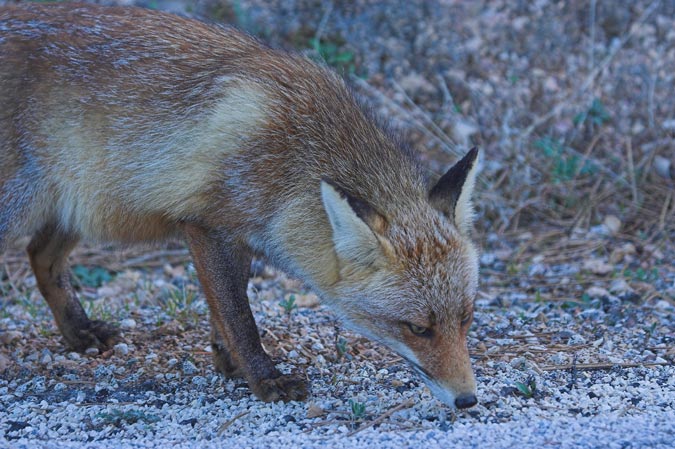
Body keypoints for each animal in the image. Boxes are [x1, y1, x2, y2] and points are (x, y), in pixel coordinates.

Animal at [2, 4, 484, 410]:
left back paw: (78, 333)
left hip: (76, 207)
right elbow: (238, 315)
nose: (467, 401)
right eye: (417, 328)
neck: (297, 151)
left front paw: (230, 364)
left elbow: (225, 311)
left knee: (40, 257)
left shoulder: (242, 236)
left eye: (466, 318)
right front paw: (265, 378)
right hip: (23, 208)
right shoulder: (206, 227)